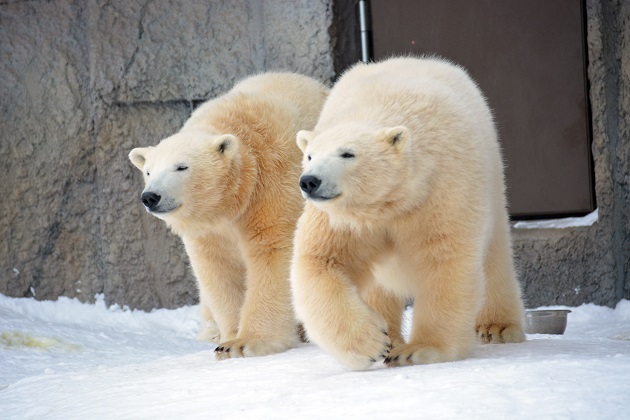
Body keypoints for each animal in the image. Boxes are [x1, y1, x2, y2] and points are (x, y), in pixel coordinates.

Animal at [126, 71, 328, 358]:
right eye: (149, 171)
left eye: (181, 167)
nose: (151, 197)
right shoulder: (207, 229)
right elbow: (217, 268)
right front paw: (227, 340)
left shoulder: (272, 187)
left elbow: (273, 253)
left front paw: (247, 342)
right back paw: (211, 332)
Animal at [292, 57, 528, 370]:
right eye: (310, 155)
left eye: (347, 154)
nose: (310, 181)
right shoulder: (344, 219)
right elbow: (322, 260)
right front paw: (373, 342)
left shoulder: (439, 189)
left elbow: (445, 259)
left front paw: (418, 350)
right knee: (378, 286)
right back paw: (391, 337)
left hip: (492, 182)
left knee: (495, 258)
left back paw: (498, 328)